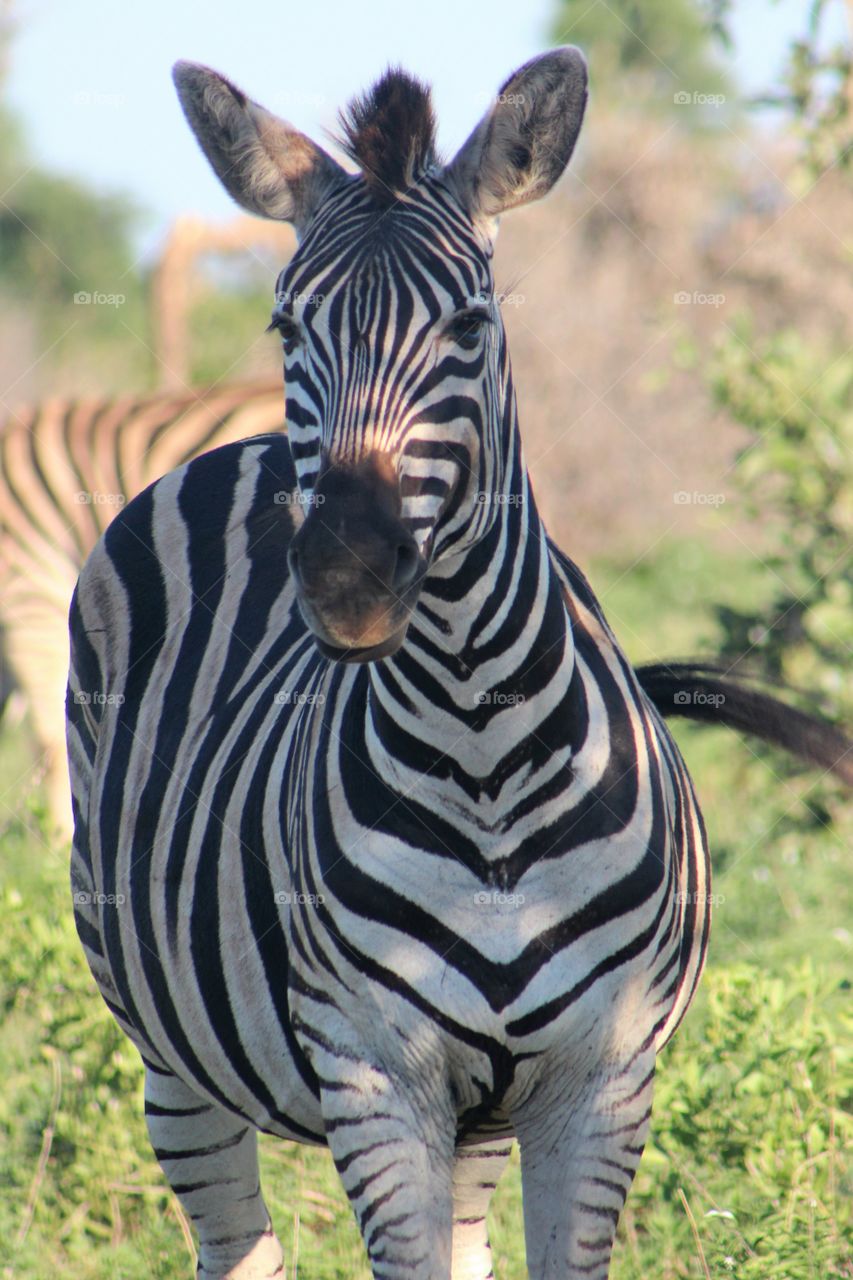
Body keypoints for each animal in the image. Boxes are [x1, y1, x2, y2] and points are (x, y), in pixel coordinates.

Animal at [68, 49, 850, 1280]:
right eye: (285, 325)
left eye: (472, 322)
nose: (345, 574)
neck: (481, 750)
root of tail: (239, 447)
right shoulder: (376, 1078)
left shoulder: (599, 1081)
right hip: (166, 1054)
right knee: (234, 1238)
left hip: (479, 1120)